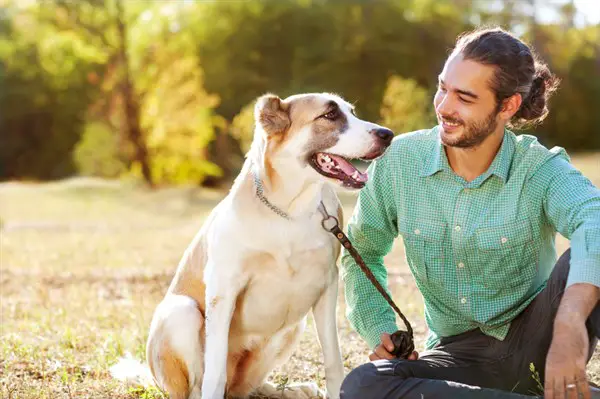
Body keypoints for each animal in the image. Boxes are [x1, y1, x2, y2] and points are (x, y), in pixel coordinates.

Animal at [137, 94, 394, 399]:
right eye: (330, 115)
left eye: (351, 112)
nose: (387, 134)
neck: (290, 209)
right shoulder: (223, 289)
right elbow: (215, 371)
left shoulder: (327, 285)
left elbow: (332, 358)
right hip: (180, 312)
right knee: (199, 386)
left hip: (293, 326)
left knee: (248, 387)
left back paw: (294, 389)